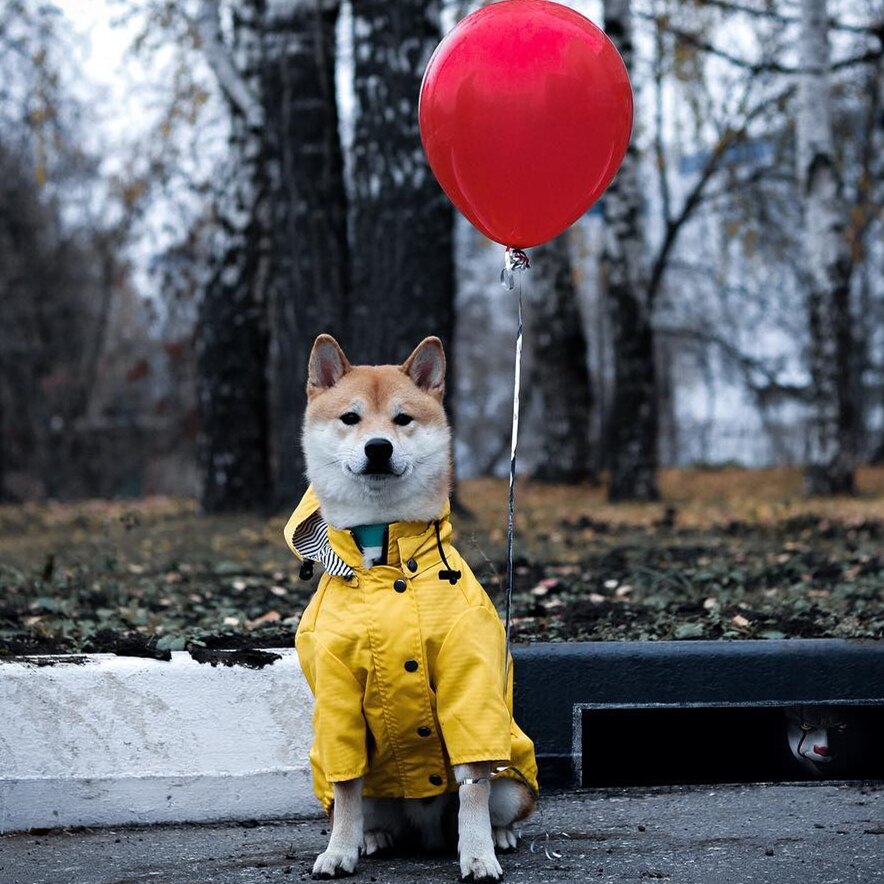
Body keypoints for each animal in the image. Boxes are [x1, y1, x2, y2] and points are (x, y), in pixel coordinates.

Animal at [290, 334, 540, 880]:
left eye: (402, 419)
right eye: (351, 418)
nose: (378, 447)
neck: (382, 553)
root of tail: (424, 832)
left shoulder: (468, 682)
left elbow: (473, 788)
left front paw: (478, 853)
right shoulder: (336, 690)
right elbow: (345, 788)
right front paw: (338, 850)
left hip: (513, 782)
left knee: (492, 799)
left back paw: (499, 835)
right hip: (375, 793)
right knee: (361, 806)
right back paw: (371, 837)